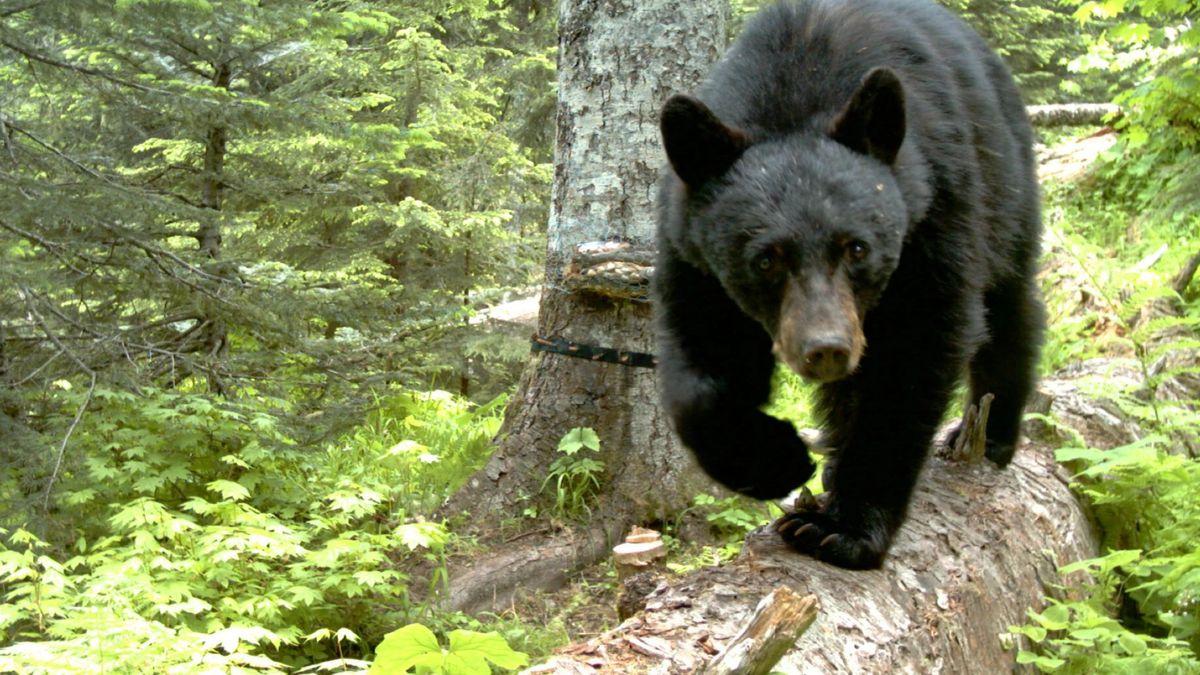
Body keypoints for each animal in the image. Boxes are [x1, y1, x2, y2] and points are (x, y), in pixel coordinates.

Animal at [653, 0, 1044, 570]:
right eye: (765, 259)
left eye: (856, 247)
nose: (827, 349)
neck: (794, 87)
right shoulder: (691, 248)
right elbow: (701, 362)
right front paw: (777, 459)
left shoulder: (936, 208)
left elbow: (913, 351)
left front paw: (843, 528)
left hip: (1004, 175)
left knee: (1010, 303)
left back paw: (990, 435)